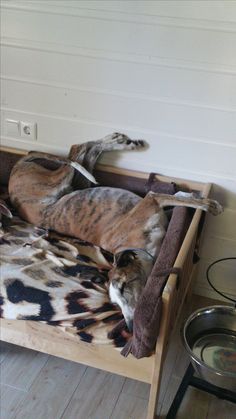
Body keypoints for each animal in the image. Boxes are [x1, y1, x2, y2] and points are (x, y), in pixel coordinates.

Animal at [8, 133, 223, 330]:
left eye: (124, 286)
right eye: (114, 303)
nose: (130, 326)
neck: (140, 248)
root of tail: (17, 166)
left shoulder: (152, 199)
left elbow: (180, 197)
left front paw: (210, 205)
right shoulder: (154, 202)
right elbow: (178, 196)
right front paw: (199, 199)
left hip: (69, 183)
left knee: (79, 148)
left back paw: (123, 141)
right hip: (71, 183)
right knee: (82, 149)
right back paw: (121, 141)